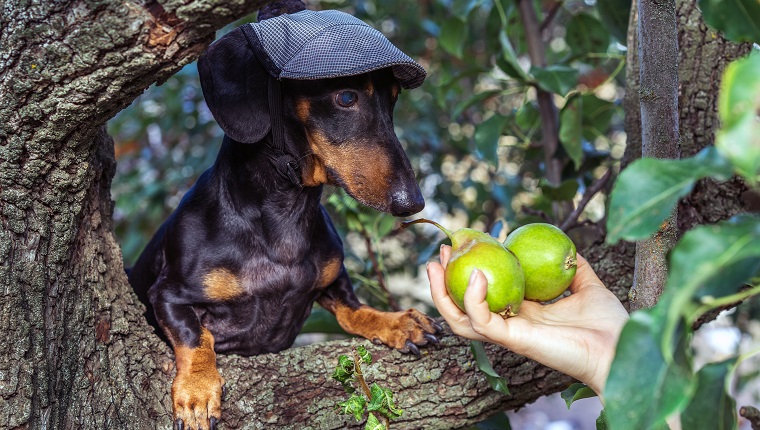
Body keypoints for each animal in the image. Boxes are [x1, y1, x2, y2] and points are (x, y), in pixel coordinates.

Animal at [127, 4, 440, 430]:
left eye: (393, 100)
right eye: (346, 96)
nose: (413, 202)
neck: (284, 216)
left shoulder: (334, 279)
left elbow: (353, 310)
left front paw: (397, 322)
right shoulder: (167, 295)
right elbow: (196, 337)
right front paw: (197, 390)